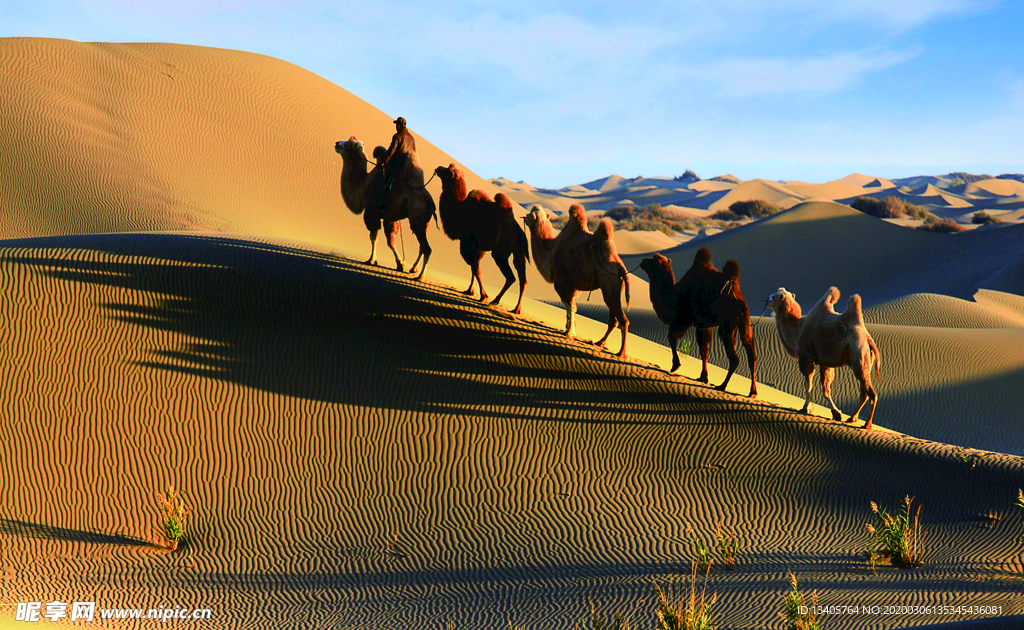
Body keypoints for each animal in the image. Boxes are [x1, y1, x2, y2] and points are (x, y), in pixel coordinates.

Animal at [333, 137, 434, 280]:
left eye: (348, 144)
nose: (337, 143)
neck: (362, 185)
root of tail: (429, 201)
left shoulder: (371, 211)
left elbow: (374, 237)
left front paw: (372, 260)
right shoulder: (389, 217)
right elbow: (390, 240)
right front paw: (400, 264)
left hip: (416, 219)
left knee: (427, 248)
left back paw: (420, 277)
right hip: (424, 223)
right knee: (422, 246)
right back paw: (413, 269)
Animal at [434, 163, 532, 313]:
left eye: (449, 171)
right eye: (450, 166)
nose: (438, 168)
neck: (459, 210)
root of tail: (520, 233)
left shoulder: (469, 243)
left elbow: (475, 268)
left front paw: (483, 295)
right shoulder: (478, 247)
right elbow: (473, 267)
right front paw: (470, 291)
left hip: (500, 252)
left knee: (511, 277)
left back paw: (495, 300)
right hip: (519, 253)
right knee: (523, 279)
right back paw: (516, 309)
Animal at [528, 204, 630, 356]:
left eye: (530, 215)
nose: (524, 218)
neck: (551, 249)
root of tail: (620, 266)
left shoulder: (562, 281)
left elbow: (569, 304)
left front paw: (569, 332)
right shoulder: (572, 285)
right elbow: (571, 306)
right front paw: (567, 328)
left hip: (609, 284)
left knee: (622, 320)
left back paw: (620, 353)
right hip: (614, 287)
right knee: (614, 320)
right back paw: (599, 343)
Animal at [663, 248, 761, 397]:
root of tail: (740, 302)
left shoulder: (685, 316)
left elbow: (672, 336)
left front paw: (676, 366)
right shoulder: (702, 324)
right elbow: (704, 348)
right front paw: (703, 378)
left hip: (727, 324)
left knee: (734, 357)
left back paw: (722, 386)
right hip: (745, 322)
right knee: (751, 355)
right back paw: (752, 392)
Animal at [770, 288, 880, 432]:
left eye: (774, 296)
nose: (767, 299)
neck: (798, 329)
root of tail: (868, 338)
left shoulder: (806, 357)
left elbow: (808, 384)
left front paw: (806, 409)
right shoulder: (825, 364)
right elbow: (826, 389)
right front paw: (836, 413)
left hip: (859, 355)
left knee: (871, 394)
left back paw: (867, 424)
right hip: (862, 361)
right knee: (864, 392)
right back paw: (851, 418)